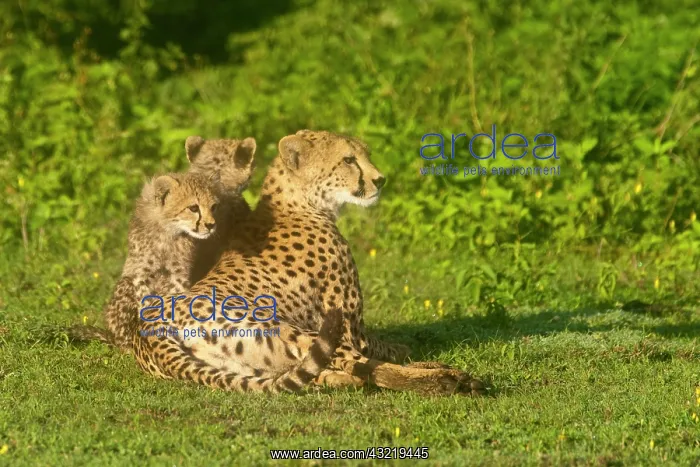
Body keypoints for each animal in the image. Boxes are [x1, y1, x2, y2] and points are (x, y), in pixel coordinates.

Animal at [132, 130, 485, 396]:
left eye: (366, 155)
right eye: (348, 160)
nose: (380, 180)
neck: (300, 203)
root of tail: (151, 335)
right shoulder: (348, 326)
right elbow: (376, 349)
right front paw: (414, 357)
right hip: (289, 329)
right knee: (369, 369)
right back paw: (448, 380)